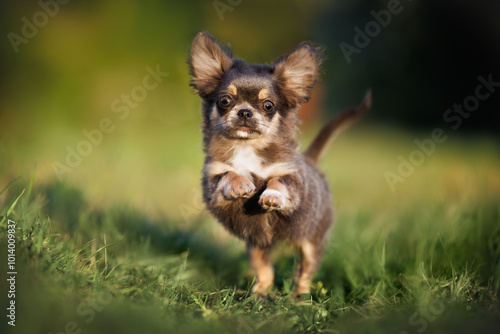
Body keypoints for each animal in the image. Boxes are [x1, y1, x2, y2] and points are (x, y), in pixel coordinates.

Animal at [188, 32, 372, 298]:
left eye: (268, 106)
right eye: (224, 101)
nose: (244, 112)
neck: (247, 147)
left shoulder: (291, 179)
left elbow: (278, 181)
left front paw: (272, 196)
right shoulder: (213, 182)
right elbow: (228, 175)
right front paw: (240, 184)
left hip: (311, 242)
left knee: (305, 273)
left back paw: (299, 298)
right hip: (256, 247)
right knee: (266, 272)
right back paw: (258, 295)